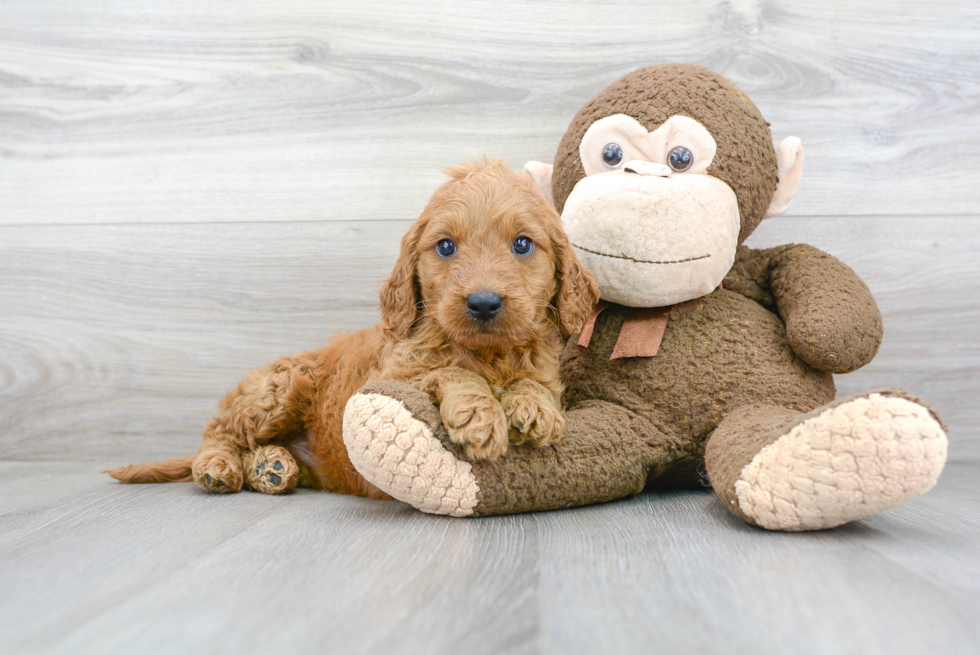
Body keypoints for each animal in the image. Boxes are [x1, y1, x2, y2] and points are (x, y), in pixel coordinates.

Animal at [105, 159, 596, 498]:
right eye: (446, 247)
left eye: (522, 244)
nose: (483, 302)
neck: (487, 353)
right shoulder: (393, 373)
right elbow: (449, 371)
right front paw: (479, 412)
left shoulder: (544, 368)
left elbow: (536, 384)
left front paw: (533, 406)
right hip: (281, 388)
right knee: (219, 431)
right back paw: (219, 468)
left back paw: (272, 467)